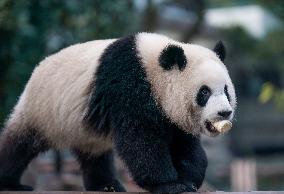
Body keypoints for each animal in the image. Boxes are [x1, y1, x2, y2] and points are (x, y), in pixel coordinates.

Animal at [0, 32, 235, 193]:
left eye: (226, 90)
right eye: (204, 92)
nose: (224, 113)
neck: (154, 69)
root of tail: (37, 68)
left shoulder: (172, 115)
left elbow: (185, 144)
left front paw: (189, 178)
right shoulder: (128, 88)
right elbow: (140, 141)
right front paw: (170, 184)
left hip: (81, 126)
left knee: (94, 153)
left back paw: (106, 185)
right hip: (43, 108)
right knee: (20, 143)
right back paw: (11, 182)